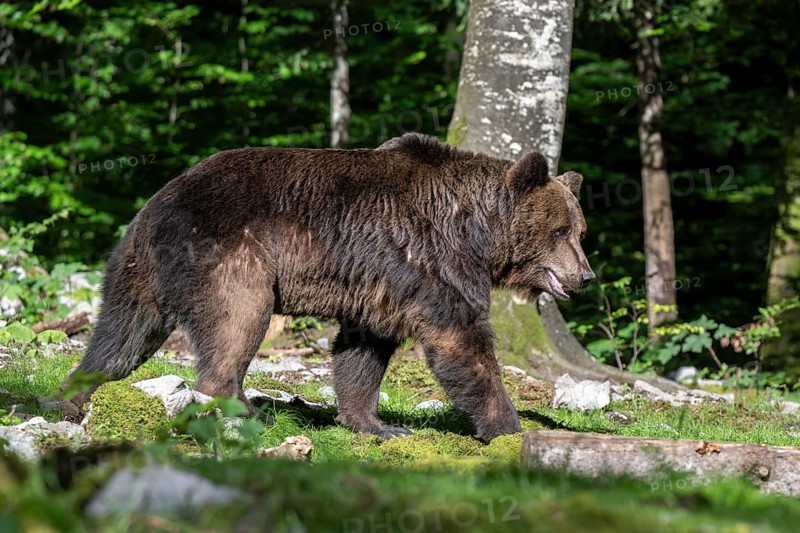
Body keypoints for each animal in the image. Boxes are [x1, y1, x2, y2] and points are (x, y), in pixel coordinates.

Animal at [61, 133, 594, 442]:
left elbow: (363, 350)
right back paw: (249, 411)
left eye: (580, 230)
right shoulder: (435, 262)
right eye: (561, 231)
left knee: (120, 337)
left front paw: (378, 424)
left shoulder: (384, 283)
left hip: (134, 270)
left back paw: (71, 397)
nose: (585, 275)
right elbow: (461, 340)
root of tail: (157, 202)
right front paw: (506, 427)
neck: (476, 232)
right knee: (237, 320)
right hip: (232, 254)